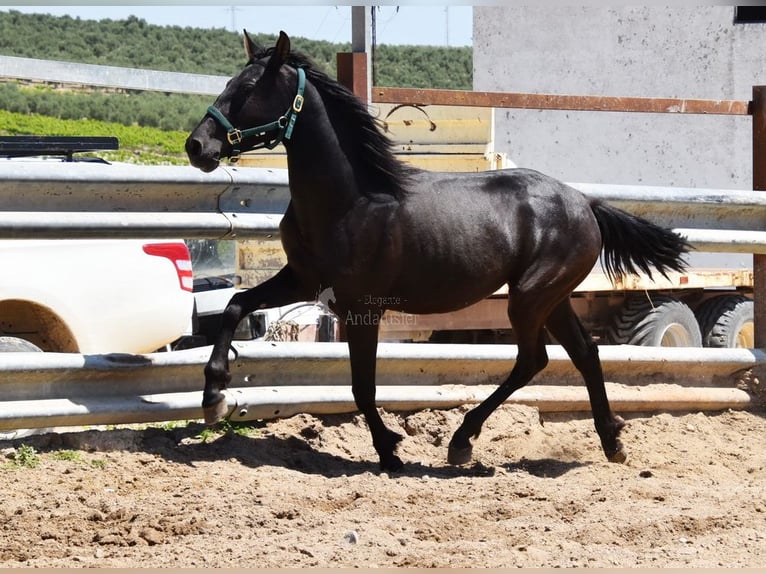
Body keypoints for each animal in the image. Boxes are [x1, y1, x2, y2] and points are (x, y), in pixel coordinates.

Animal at [188, 31, 688, 472]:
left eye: (247, 88)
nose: (197, 146)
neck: (350, 199)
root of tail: (585, 202)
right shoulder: (303, 280)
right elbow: (235, 304)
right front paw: (213, 395)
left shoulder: (362, 307)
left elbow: (363, 386)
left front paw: (389, 452)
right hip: (553, 299)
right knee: (584, 353)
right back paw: (612, 442)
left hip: (530, 298)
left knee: (534, 359)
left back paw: (463, 441)